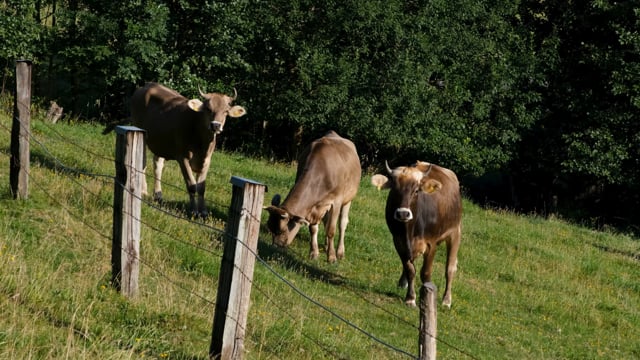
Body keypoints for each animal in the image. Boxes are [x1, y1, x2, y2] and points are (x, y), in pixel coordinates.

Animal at [130, 81, 245, 217]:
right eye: (208, 109)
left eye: (226, 111)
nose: (216, 125)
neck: (202, 145)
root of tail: (148, 85)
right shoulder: (183, 157)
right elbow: (192, 185)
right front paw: (194, 211)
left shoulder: (207, 160)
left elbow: (201, 187)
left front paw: (204, 212)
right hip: (140, 133)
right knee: (143, 162)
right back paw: (143, 191)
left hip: (160, 142)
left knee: (157, 165)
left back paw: (158, 195)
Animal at [264, 131, 360, 262]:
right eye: (269, 227)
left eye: (281, 230)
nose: (274, 248)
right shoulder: (313, 206)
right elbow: (313, 228)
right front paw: (314, 253)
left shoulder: (336, 201)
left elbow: (331, 230)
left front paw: (332, 257)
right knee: (326, 221)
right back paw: (326, 245)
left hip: (348, 198)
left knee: (342, 223)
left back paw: (340, 252)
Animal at [372, 160, 462, 306]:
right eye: (394, 190)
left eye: (416, 191)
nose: (403, 213)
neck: (410, 230)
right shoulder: (398, 241)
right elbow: (410, 269)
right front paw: (410, 298)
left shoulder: (431, 244)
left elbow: (426, 273)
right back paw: (403, 283)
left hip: (455, 232)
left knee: (450, 268)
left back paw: (446, 300)